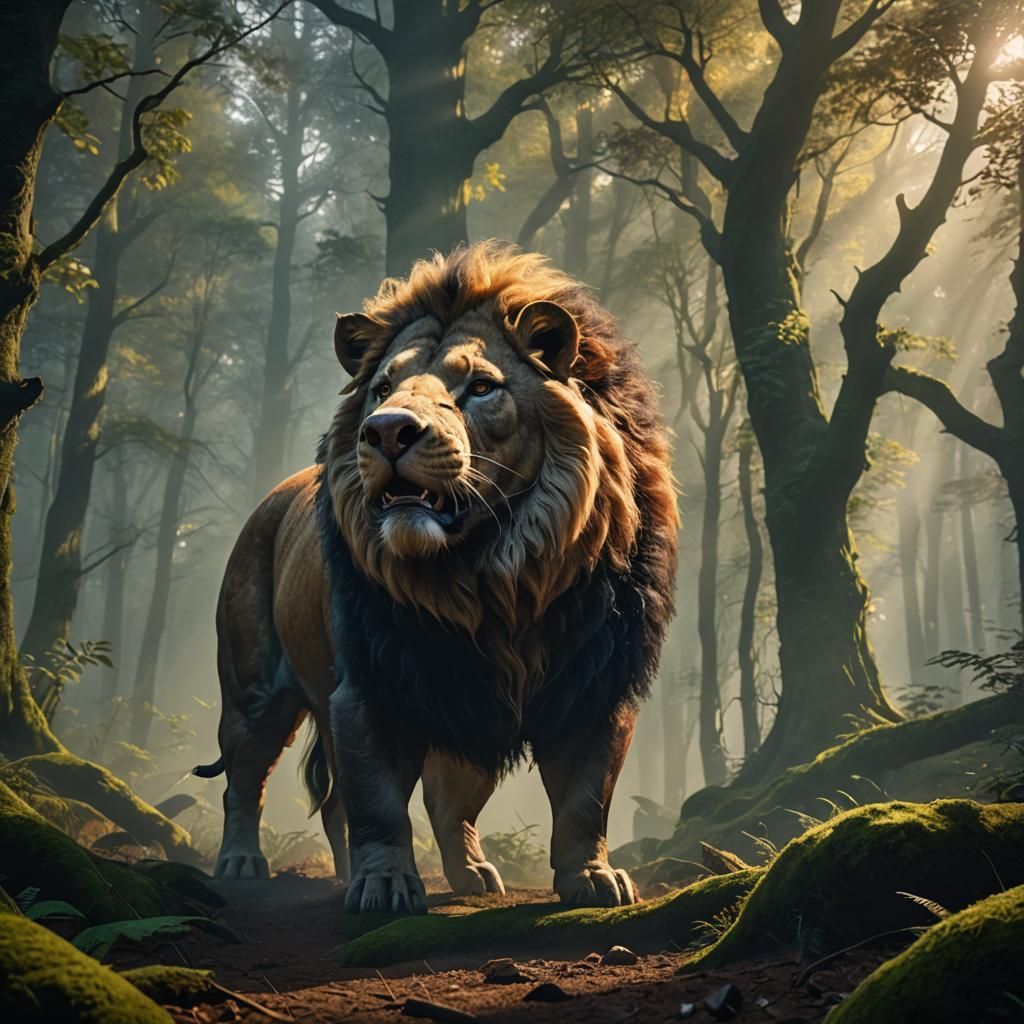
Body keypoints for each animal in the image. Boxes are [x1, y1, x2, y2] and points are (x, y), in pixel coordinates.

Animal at [196, 242, 678, 913]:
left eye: (480, 387)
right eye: (381, 388)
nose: (385, 430)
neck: (492, 578)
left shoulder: (593, 683)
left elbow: (584, 798)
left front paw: (592, 878)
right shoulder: (369, 685)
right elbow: (378, 803)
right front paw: (385, 885)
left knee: (395, 802)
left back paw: (450, 871)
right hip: (254, 691)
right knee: (245, 778)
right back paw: (243, 863)